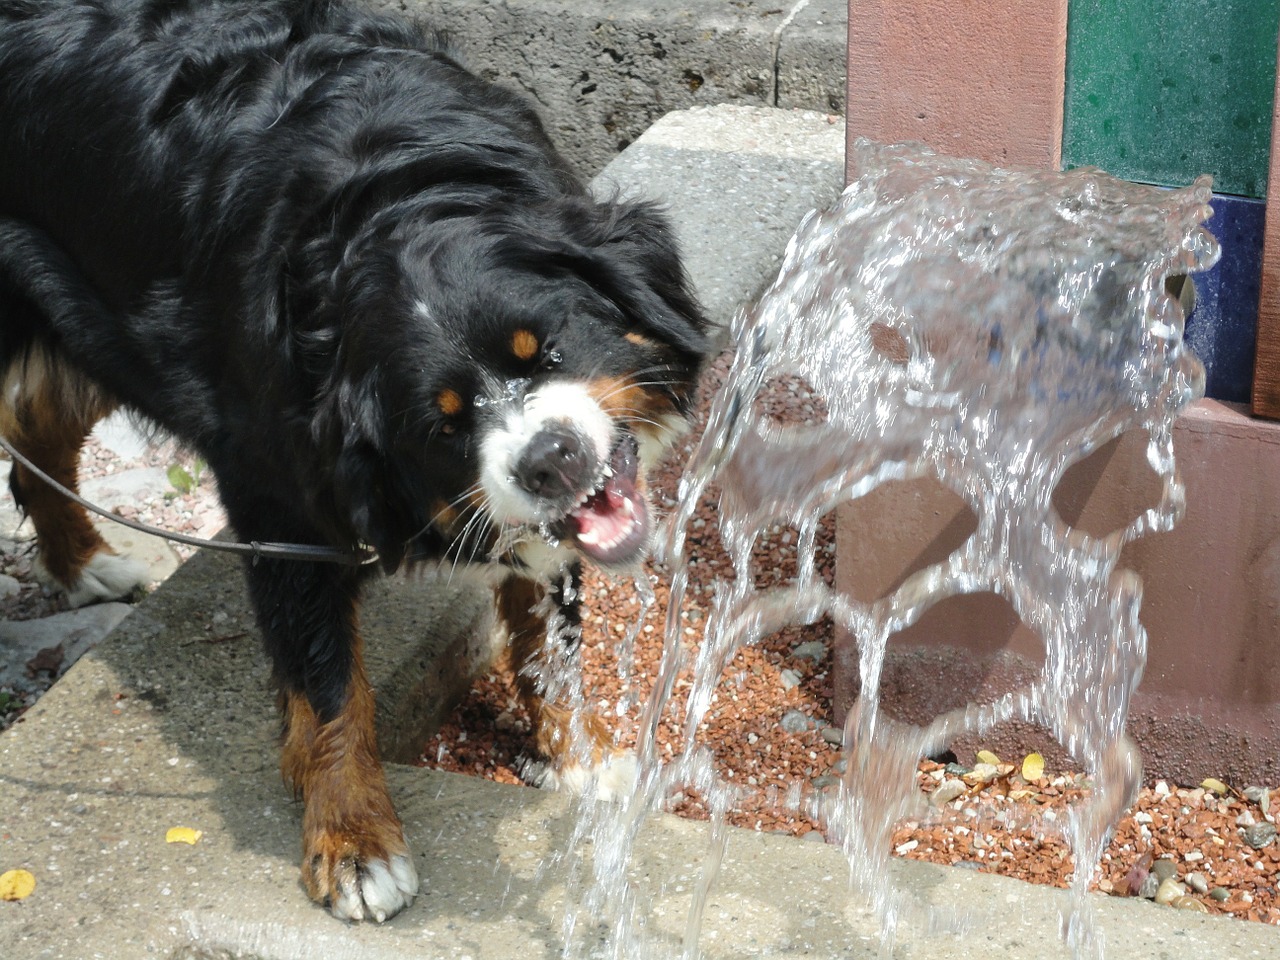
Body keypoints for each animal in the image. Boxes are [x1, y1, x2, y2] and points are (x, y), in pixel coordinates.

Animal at [0, 0, 711, 926]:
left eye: (546, 349)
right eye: (443, 425)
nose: (550, 461)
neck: (387, 197)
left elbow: (548, 642)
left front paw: (577, 759)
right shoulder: (276, 495)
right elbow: (330, 682)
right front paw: (354, 842)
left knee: (37, 420)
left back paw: (85, 562)